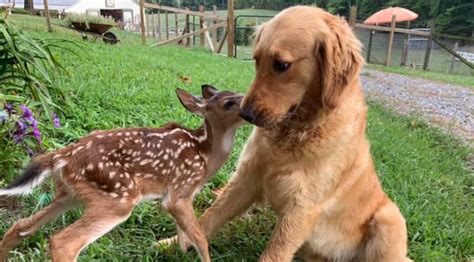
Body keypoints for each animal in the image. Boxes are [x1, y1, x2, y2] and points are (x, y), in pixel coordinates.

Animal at [161, 6, 410, 262]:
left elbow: (273, 253)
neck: (295, 130)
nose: (246, 114)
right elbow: (209, 217)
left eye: (281, 65)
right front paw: (170, 244)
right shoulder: (246, 179)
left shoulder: (301, 209)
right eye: (256, 61)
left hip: (389, 220)